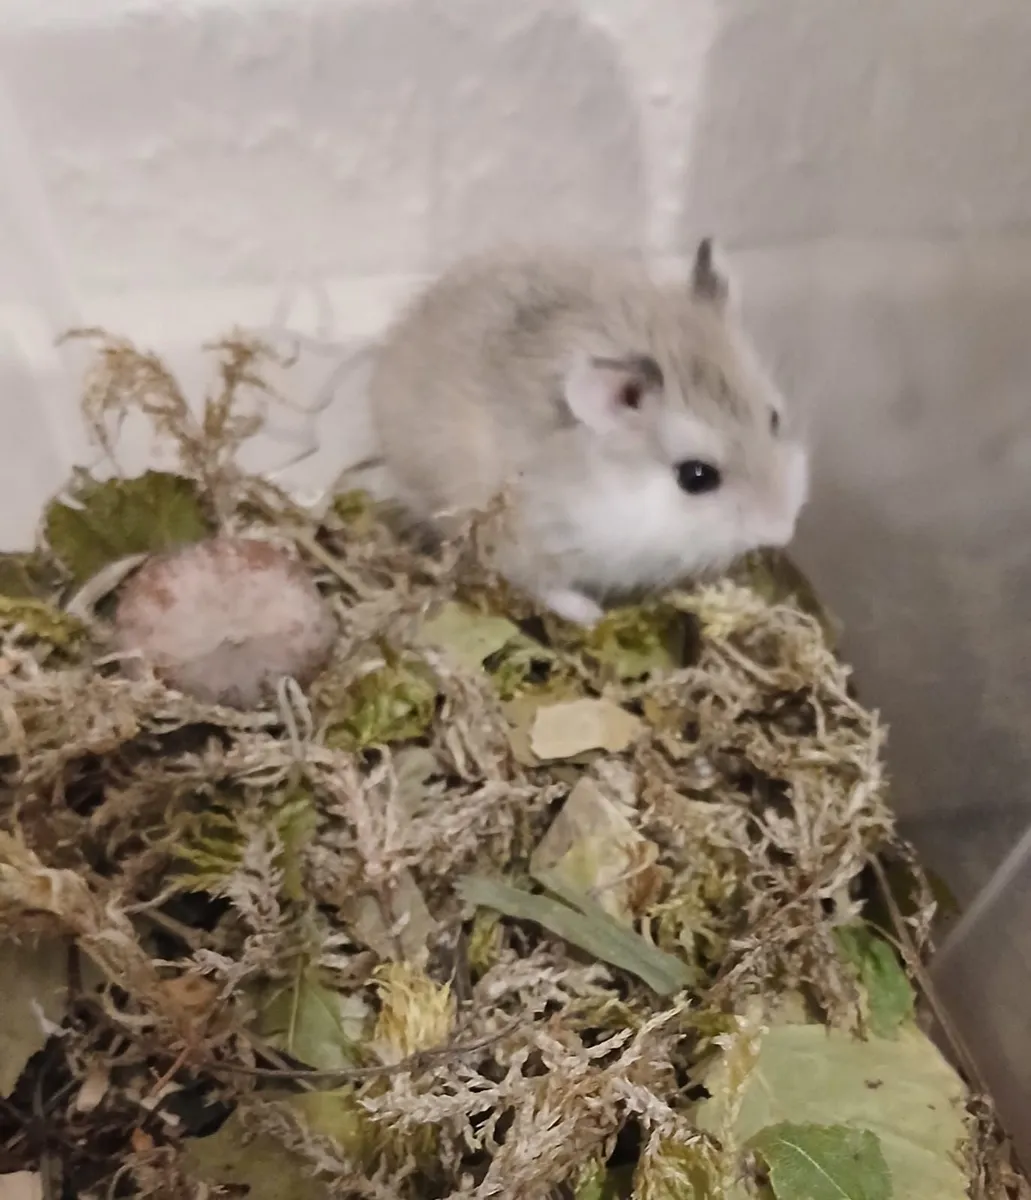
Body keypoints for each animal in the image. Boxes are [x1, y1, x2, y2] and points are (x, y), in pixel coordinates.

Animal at [369, 240, 809, 626]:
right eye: (696, 477)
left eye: (774, 419)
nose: (783, 532)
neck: (614, 481)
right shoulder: (525, 541)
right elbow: (542, 585)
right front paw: (591, 615)